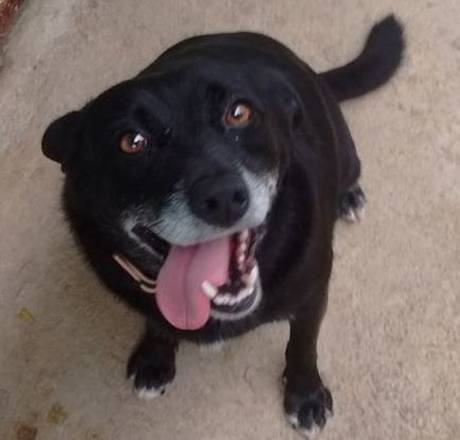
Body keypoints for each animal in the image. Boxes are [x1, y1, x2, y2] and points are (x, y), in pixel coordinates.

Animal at [42, 15, 403, 438]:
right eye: (131, 141)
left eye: (239, 113)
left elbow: (302, 344)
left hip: (346, 152)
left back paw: (348, 196)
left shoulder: (313, 293)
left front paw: (305, 396)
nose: (223, 196)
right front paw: (153, 360)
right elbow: (155, 321)